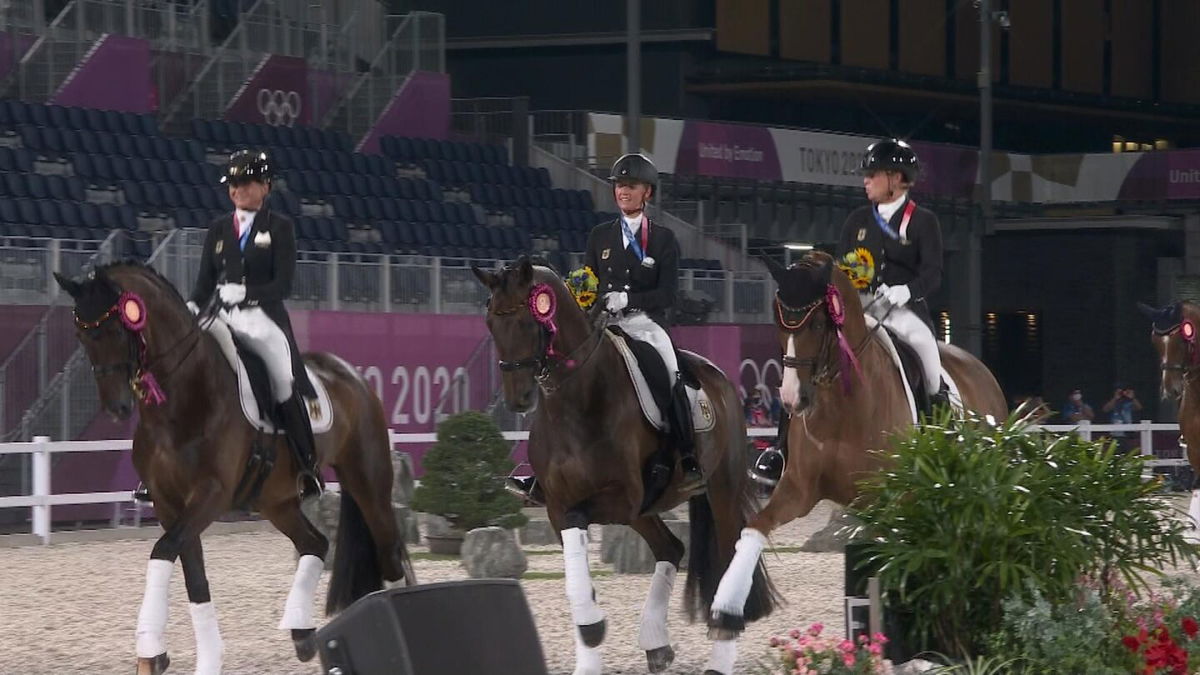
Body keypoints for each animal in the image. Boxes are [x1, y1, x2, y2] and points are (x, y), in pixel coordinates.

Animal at [54, 261, 415, 672]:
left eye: (116, 329)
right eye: (81, 335)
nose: (117, 408)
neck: (182, 399)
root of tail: (352, 376)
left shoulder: (210, 494)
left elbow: (162, 550)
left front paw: (150, 649)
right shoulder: (167, 503)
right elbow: (193, 578)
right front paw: (192, 657)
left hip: (367, 482)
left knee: (389, 553)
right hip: (275, 501)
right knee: (316, 542)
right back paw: (302, 633)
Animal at [468, 257, 777, 672]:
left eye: (527, 322)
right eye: (490, 322)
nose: (519, 398)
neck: (575, 404)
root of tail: (717, 376)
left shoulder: (620, 498)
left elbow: (580, 538)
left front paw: (592, 630)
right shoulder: (558, 506)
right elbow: (576, 577)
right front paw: (588, 652)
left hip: (720, 490)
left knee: (728, 555)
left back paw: (721, 650)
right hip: (645, 511)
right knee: (671, 549)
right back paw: (656, 642)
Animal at [700, 251, 1003, 629]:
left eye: (817, 325)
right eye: (780, 323)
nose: (792, 399)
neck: (842, 407)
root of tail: (982, 372)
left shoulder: (887, 500)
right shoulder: (799, 489)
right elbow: (755, 528)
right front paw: (726, 606)